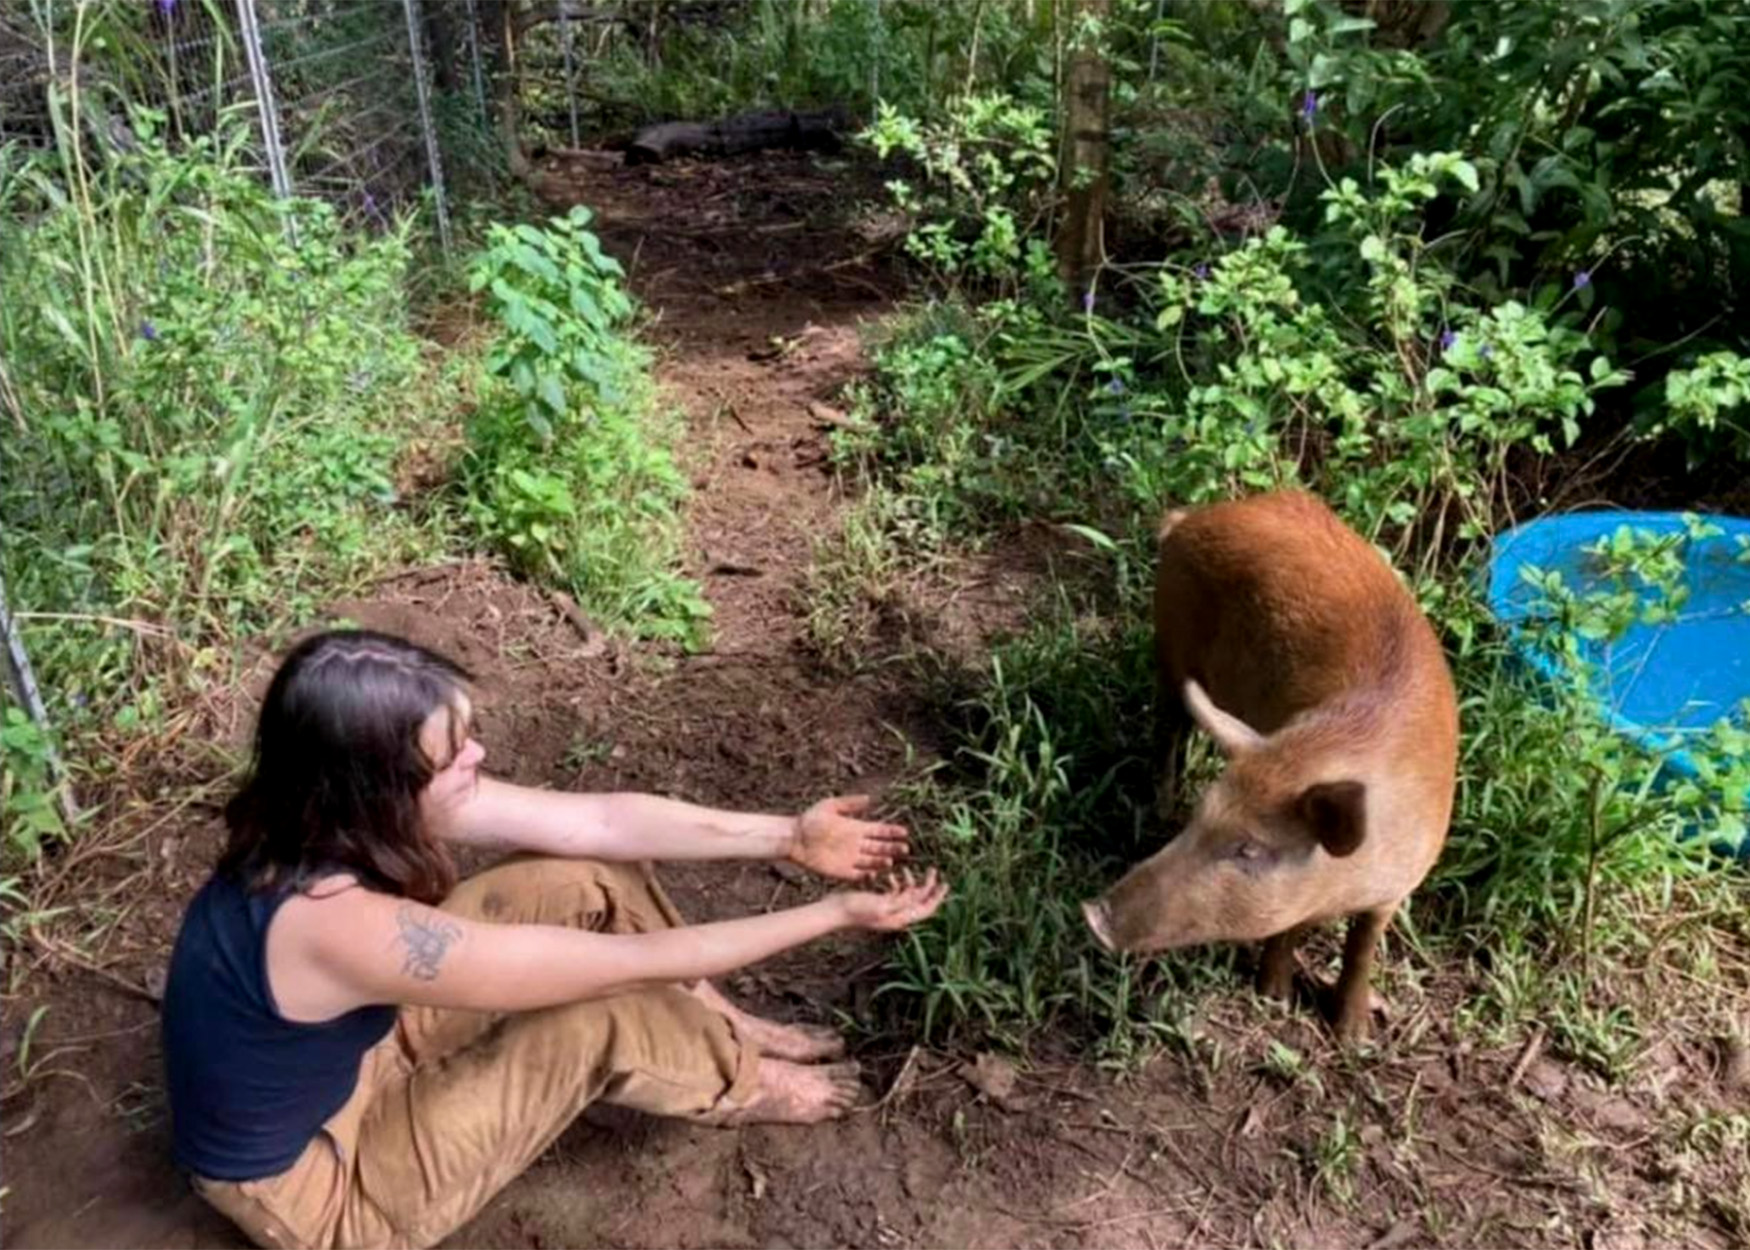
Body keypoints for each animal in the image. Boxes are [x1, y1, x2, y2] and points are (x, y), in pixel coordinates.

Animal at [1078, 490, 1463, 1043]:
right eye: (1202, 820)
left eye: (1250, 849)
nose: (1094, 915)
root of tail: (1192, 518)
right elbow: (1289, 928)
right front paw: (1274, 1000)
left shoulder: (1400, 881)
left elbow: (1363, 945)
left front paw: (1352, 1037)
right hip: (1169, 645)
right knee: (1167, 728)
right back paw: (1161, 810)